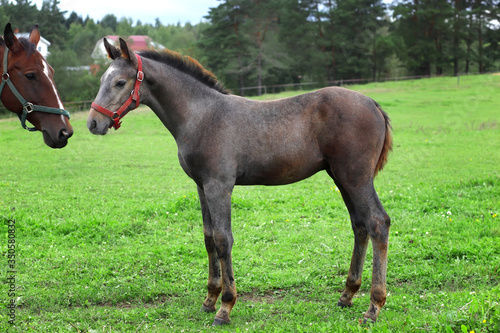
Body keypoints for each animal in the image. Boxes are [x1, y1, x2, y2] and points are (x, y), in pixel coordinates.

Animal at [87, 38, 390, 324]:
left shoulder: (219, 186)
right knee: (360, 225)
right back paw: (347, 294)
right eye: (101, 80)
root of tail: (373, 104)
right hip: (341, 177)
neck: (202, 115)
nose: (93, 123)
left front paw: (225, 307)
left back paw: (373, 307)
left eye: (120, 82)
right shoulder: (202, 186)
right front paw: (210, 299)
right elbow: (209, 238)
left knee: (377, 223)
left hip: (356, 178)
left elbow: (224, 239)